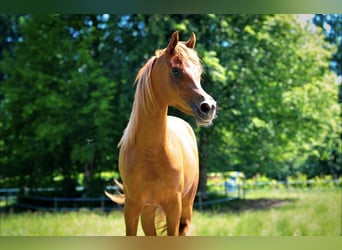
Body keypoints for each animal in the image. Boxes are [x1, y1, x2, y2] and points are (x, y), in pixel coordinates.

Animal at [105, 30, 215, 235]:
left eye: (199, 73)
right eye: (175, 71)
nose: (209, 107)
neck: (149, 152)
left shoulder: (173, 206)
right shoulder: (131, 209)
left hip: (186, 207)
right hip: (148, 211)